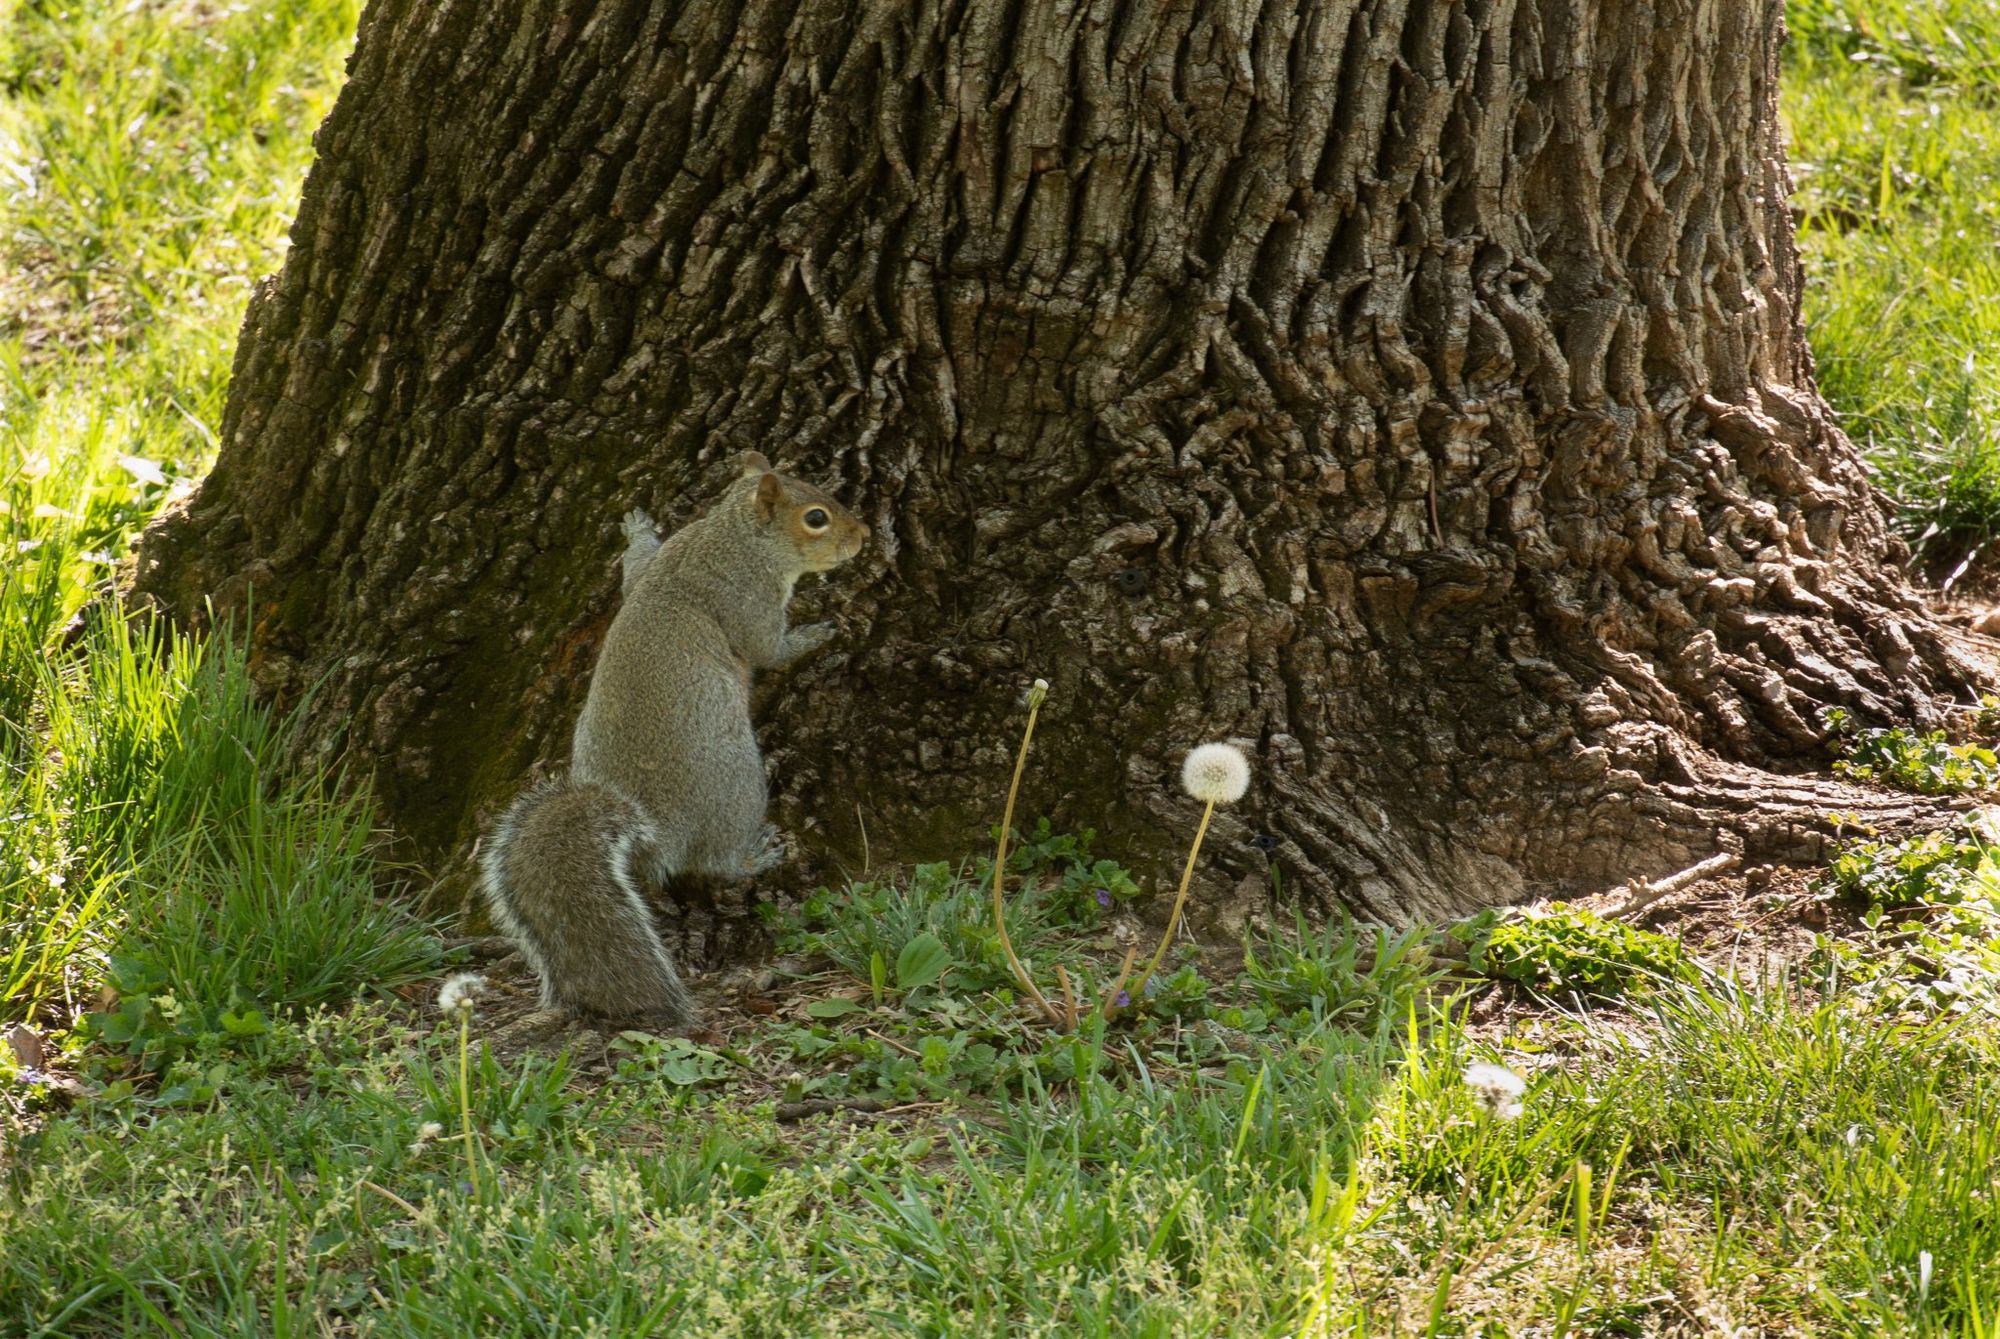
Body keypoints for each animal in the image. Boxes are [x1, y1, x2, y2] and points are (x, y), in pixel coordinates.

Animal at [482, 451, 868, 1031]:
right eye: (817, 517)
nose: (863, 536)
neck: (727, 536)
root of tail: (653, 827)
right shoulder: (747, 599)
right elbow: (770, 650)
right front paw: (820, 633)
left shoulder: (656, 568)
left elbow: (632, 571)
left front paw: (638, 527)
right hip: (740, 785)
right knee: (713, 861)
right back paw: (755, 856)